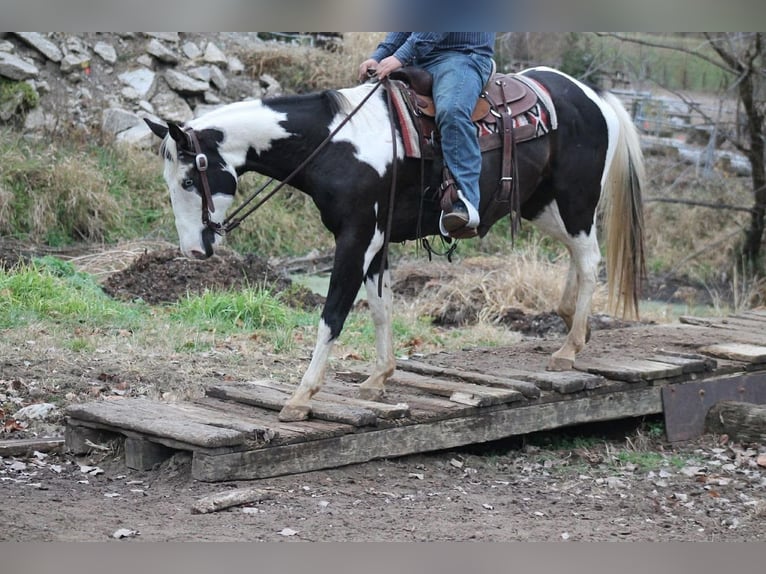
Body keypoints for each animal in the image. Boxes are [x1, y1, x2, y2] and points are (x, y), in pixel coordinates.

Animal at [145, 66, 646, 422]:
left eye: (189, 179)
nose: (193, 250)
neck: (337, 144)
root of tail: (592, 96)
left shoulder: (356, 237)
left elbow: (333, 315)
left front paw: (301, 396)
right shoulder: (374, 240)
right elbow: (381, 307)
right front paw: (378, 377)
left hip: (575, 198)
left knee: (589, 259)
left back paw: (570, 346)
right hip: (541, 204)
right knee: (576, 254)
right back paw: (569, 319)